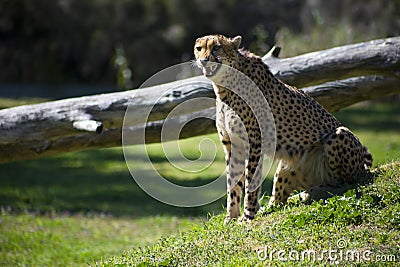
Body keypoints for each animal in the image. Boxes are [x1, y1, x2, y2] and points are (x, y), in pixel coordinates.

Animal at [194, 35, 372, 224]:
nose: (204, 60)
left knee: (344, 183)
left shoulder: (255, 143)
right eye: (199, 48)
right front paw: (231, 217)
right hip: (287, 166)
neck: (224, 86)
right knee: (279, 201)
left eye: (216, 47)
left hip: (340, 135)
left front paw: (247, 215)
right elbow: (233, 183)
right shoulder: (232, 144)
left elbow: (250, 182)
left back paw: (315, 192)